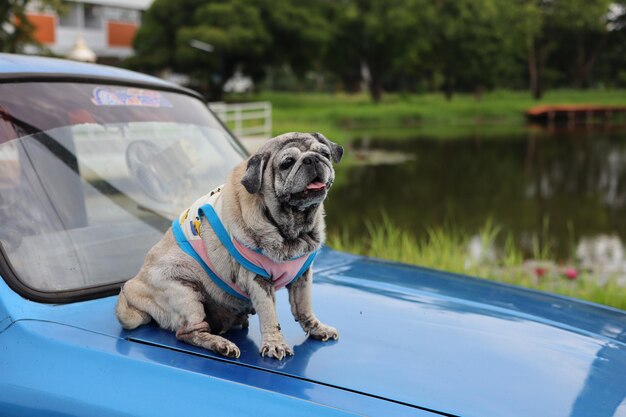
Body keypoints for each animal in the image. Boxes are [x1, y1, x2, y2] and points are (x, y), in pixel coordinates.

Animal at [117, 132, 342, 358]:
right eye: (287, 163)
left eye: (325, 154)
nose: (312, 159)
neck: (294, 228)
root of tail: (134, 293)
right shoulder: (259, 280)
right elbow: (270, 315)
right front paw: (275, 344)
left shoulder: (303, 276)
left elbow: (304, 306)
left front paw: (316, 328)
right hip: (185, 292)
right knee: (188, 332)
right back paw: (220, 344)